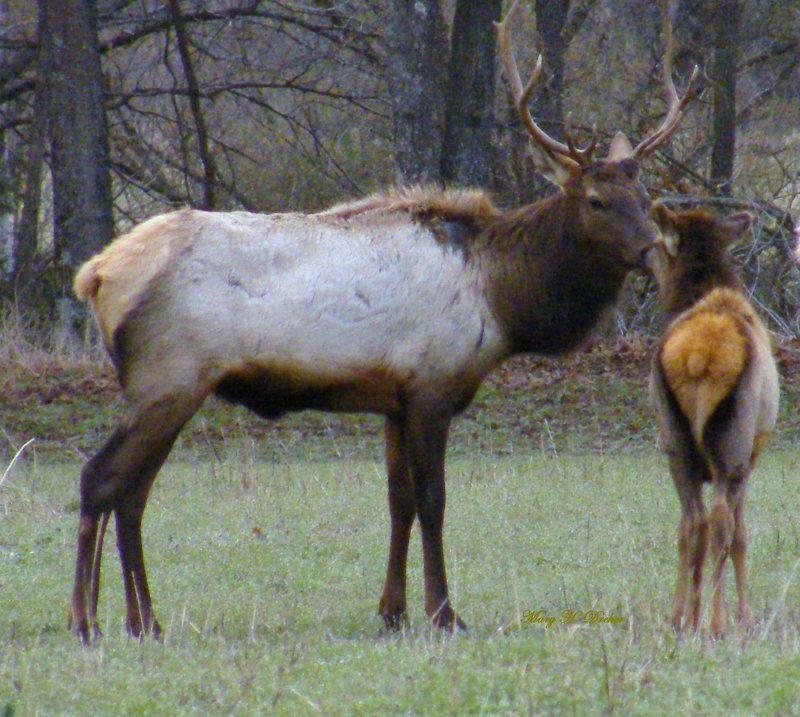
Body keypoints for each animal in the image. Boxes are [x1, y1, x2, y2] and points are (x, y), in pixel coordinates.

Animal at [67, 0, 692, 636]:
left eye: (647, 200)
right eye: (596, 200)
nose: (653, 250)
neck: (502, 299)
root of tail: (94, 274)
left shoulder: (394, 398)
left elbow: (399, 502)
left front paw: (392, 610)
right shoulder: (432, 385)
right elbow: (434, 501)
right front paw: (443, 612)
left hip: (169, 387)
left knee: (132, 494)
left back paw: (142, 620)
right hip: (169, 378)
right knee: (100, 480)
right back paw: (85, 619)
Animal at [648, 204, 780, 636]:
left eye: (657, 245)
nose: (641, 255)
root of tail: (698, 358)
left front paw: (688, 611)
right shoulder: (753, 456)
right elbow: (742, 534)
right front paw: (745, 614)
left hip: (675, 444)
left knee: (692, 522)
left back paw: (680, 616)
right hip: (733, 443)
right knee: (722, 522)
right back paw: (718, 620)